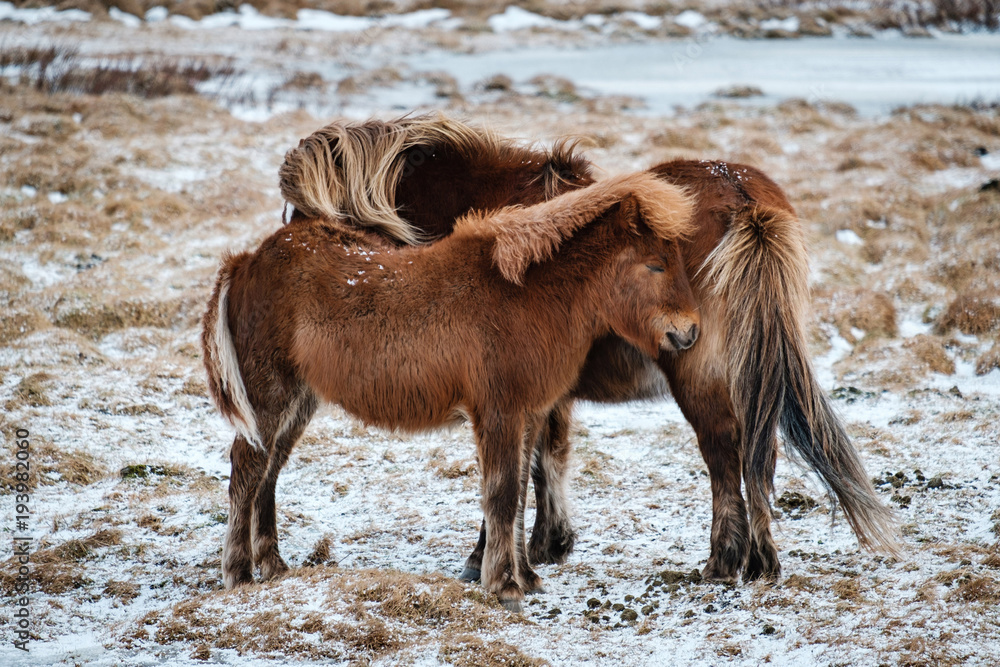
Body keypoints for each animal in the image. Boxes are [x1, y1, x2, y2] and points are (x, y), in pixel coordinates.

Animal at [202, 172, 699, 611]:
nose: (690, 332)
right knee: (248, 467)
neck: (527, 295)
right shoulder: (499, 412)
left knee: (270, 470)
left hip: (299, 399)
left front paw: (526, 576)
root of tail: (247, 261)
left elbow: (520, 492)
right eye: (655, 264)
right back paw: (239, 573)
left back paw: (273, 565)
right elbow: (502, 494)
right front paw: (504, 586)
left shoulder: (529, 415)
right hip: (269, 394)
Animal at [278, 115, 899, 585]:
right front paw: (547, 545)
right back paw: (761, 562)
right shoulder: (543, 388)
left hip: (699, 373)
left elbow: (516, 467)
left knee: (726, 453)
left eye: (309, 219)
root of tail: (743, 197)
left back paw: (726, 562)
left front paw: (490, 558)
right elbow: (547, 457)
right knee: (758, 453)